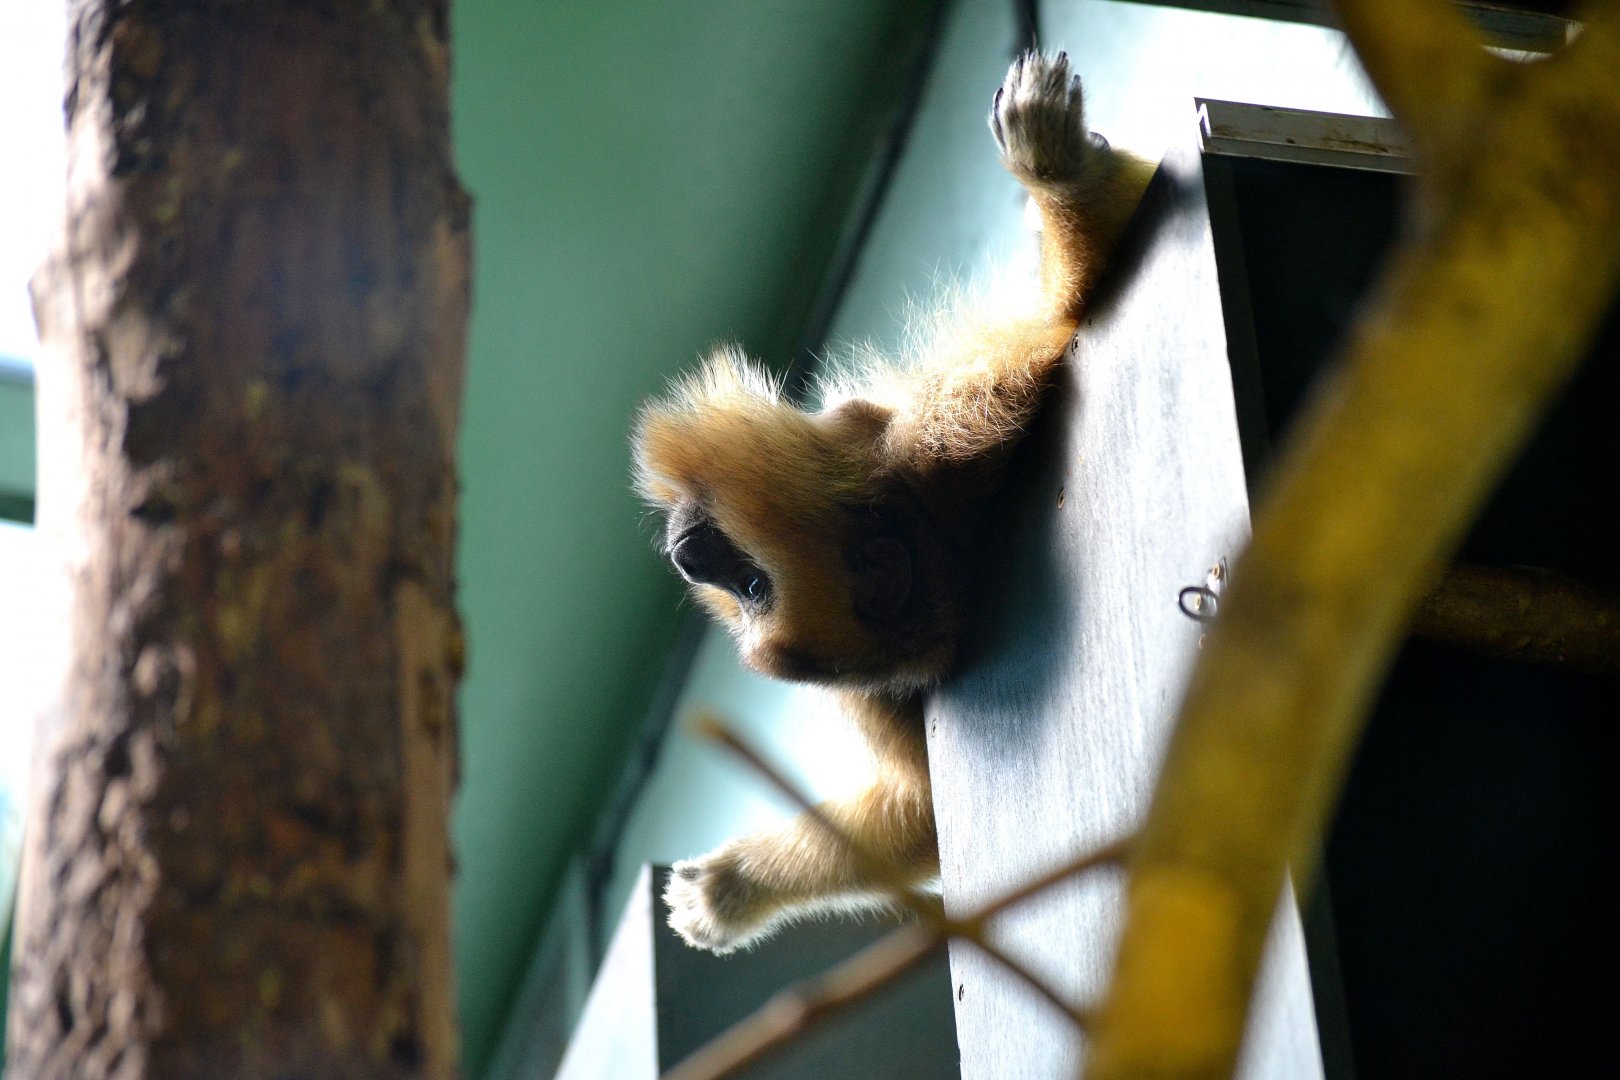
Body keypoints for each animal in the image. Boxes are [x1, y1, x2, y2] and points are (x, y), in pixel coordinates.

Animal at [632, 52, 1155, 953]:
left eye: (751, 582)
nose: (692, 557)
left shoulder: (943, 434)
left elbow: (1070, 315)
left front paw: (1061, 179)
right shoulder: (879, 679)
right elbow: (927, 817)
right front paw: (736, 888)